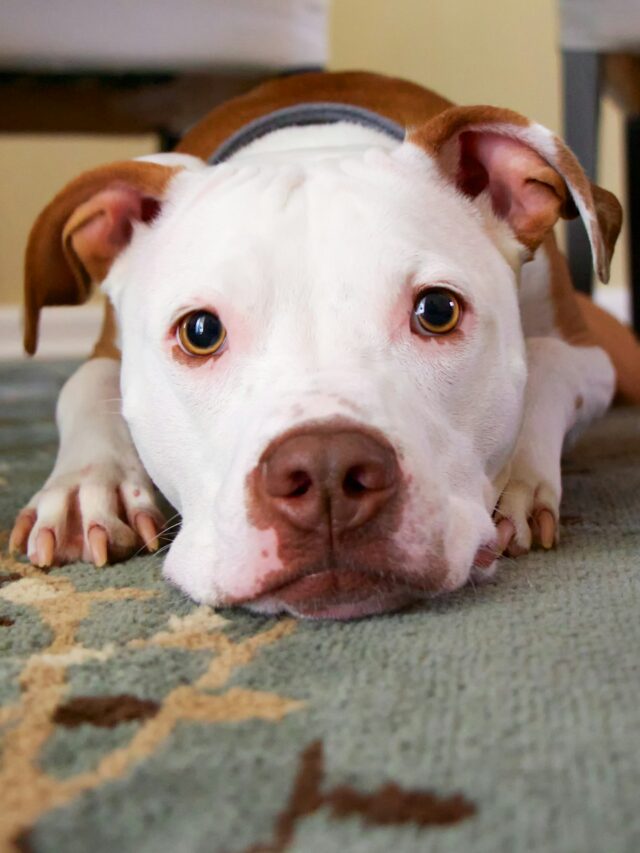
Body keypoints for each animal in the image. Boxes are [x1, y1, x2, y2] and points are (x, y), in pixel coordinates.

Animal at [10, 71, 640, 620]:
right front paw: (87, 487)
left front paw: (516, 480)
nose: (328, 471)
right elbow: (83, 384)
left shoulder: (591, 356)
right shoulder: (107, 351)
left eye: (438, 310)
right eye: (200, 331)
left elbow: (548, 364)